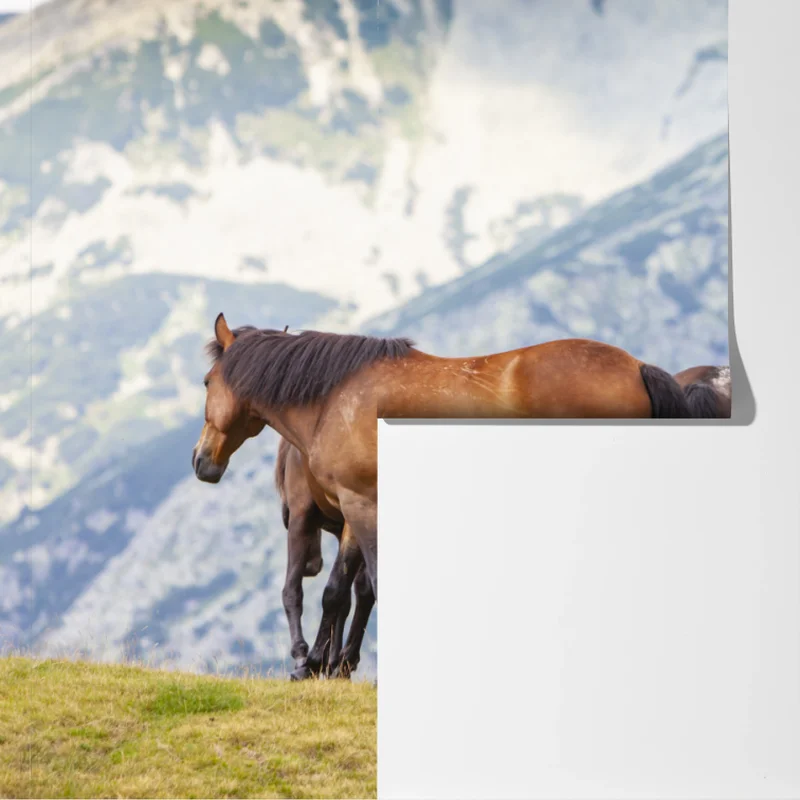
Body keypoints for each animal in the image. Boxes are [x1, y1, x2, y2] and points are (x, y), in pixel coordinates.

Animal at [192, 314, 729, 648]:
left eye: (205, 382)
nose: (201, 461)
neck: (338, 397)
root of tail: (637, 367)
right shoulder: (352, 511)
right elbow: (339, 592)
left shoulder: (363, 508)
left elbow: (370, 587)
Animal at [275, 436, 375, 680]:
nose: (313, 564)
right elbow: (346, 595)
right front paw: (333, 662)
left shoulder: (302, 514)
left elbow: (294, 589)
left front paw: (309, 658)